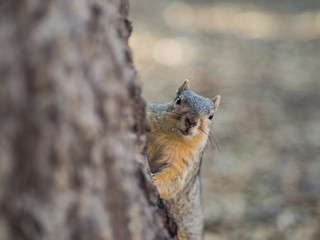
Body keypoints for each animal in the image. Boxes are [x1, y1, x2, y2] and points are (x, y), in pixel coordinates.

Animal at [146, 80, 221, 240]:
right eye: (178, 100)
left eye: (211, 116)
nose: (191, 120)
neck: (172, 136)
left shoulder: (186, 164)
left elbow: (174, 180)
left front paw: (154, 179)